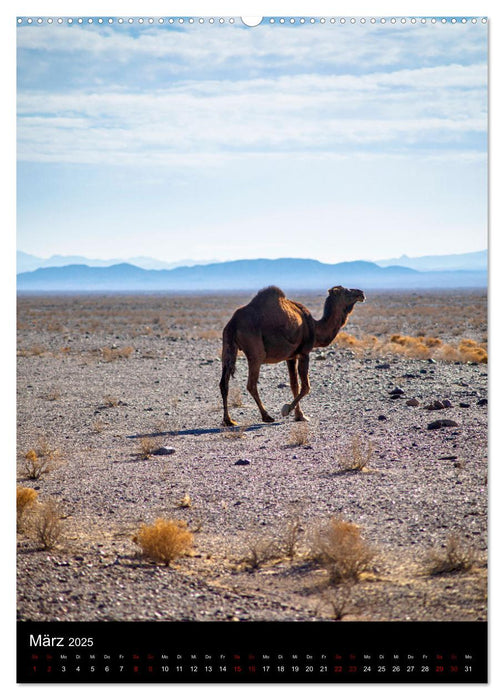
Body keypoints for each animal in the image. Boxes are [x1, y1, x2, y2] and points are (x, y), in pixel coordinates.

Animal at [219, 284, 364, 426]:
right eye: (346, 291)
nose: (361, 293)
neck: (315, 327)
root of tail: (233, 323)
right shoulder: (304, 353)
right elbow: (305, 387)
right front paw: (287, 409)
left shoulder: (291, 357)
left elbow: (294, 385)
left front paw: (300, 416)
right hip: (255, 352)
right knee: (251, 384)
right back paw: (267, 416)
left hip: (228, 347)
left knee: (224, 383)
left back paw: (229, 420)